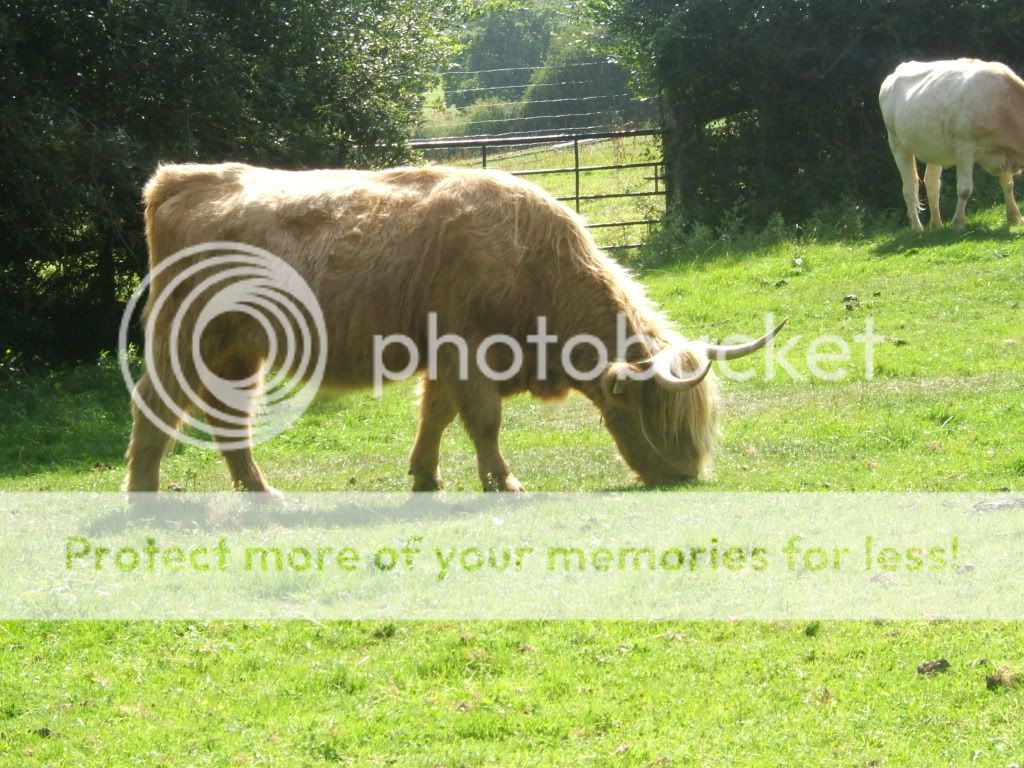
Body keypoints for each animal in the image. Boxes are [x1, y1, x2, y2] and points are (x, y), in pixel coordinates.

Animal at [125, 163, 783, 495]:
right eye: (657, 414)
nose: (687, 476)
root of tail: (177, 177)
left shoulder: (444, 356)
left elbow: (436, 416)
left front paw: (425, 477)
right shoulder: (468, 351)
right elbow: (483, 420)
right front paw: (505, 482)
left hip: (238, 352)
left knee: (229, 423)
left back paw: (262, 492)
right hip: (182, 338)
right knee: (155, 409)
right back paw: (143, 496)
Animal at [879, 58, 1024, 232]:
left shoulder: (1002, 152)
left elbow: (1008, 184)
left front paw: (1015, 217)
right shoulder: (964, 146)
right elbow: (965, 188)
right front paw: (958, 223)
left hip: (933, 149)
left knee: (932, 183)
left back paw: (936, 224)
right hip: (896, 142)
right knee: (909, 188)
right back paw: (917, 228)